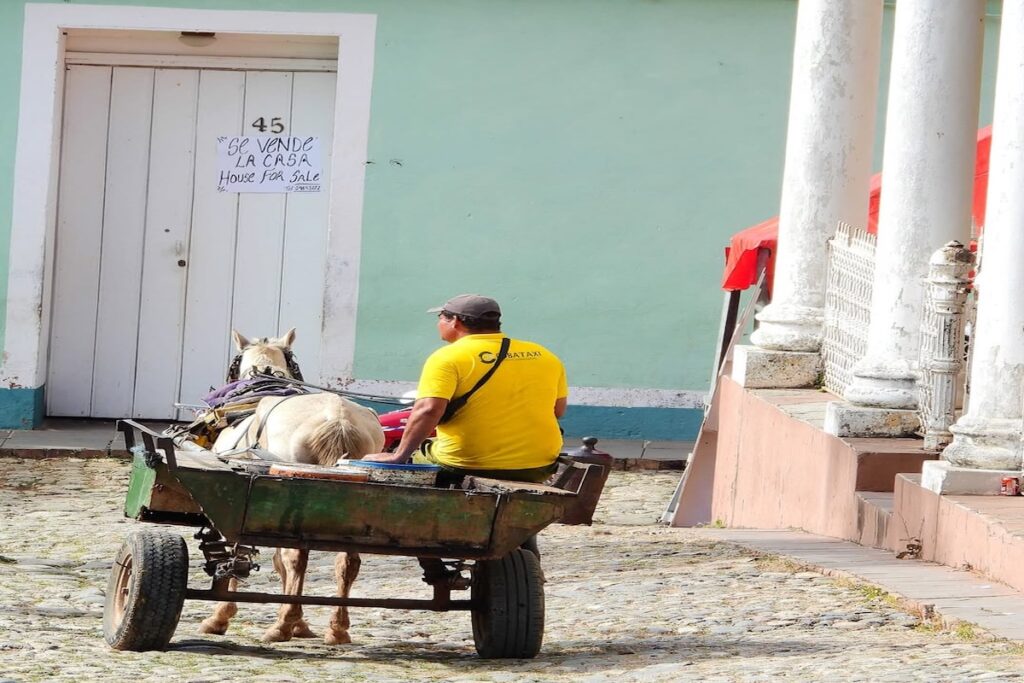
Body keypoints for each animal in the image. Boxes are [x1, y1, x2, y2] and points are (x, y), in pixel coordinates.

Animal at [199, 328, 385, 645]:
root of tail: (338, 419)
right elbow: (278, 560)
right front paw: (301, 624)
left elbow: (245, 555)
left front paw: (220, 617)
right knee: (347, 561)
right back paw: (336, 628)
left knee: (297, 557)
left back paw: (284, 623)